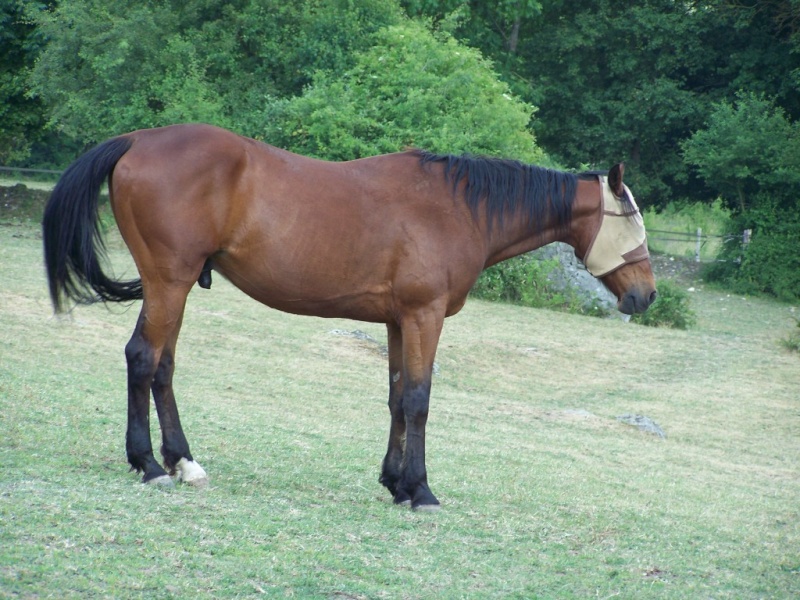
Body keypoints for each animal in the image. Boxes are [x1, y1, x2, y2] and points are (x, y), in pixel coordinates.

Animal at [42, 123, 656, 510]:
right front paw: (421, 491)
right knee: (143, 358)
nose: (646, 296)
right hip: (169, 282)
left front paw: (395, 483)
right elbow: (419, 399)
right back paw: (147, 464)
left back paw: (182, 462)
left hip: (174, 286)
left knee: (163, 366)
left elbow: (396, 397)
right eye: (631, 221)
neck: (459, 208)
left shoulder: (398, 320)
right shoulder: (426, 316)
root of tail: (138, 139)